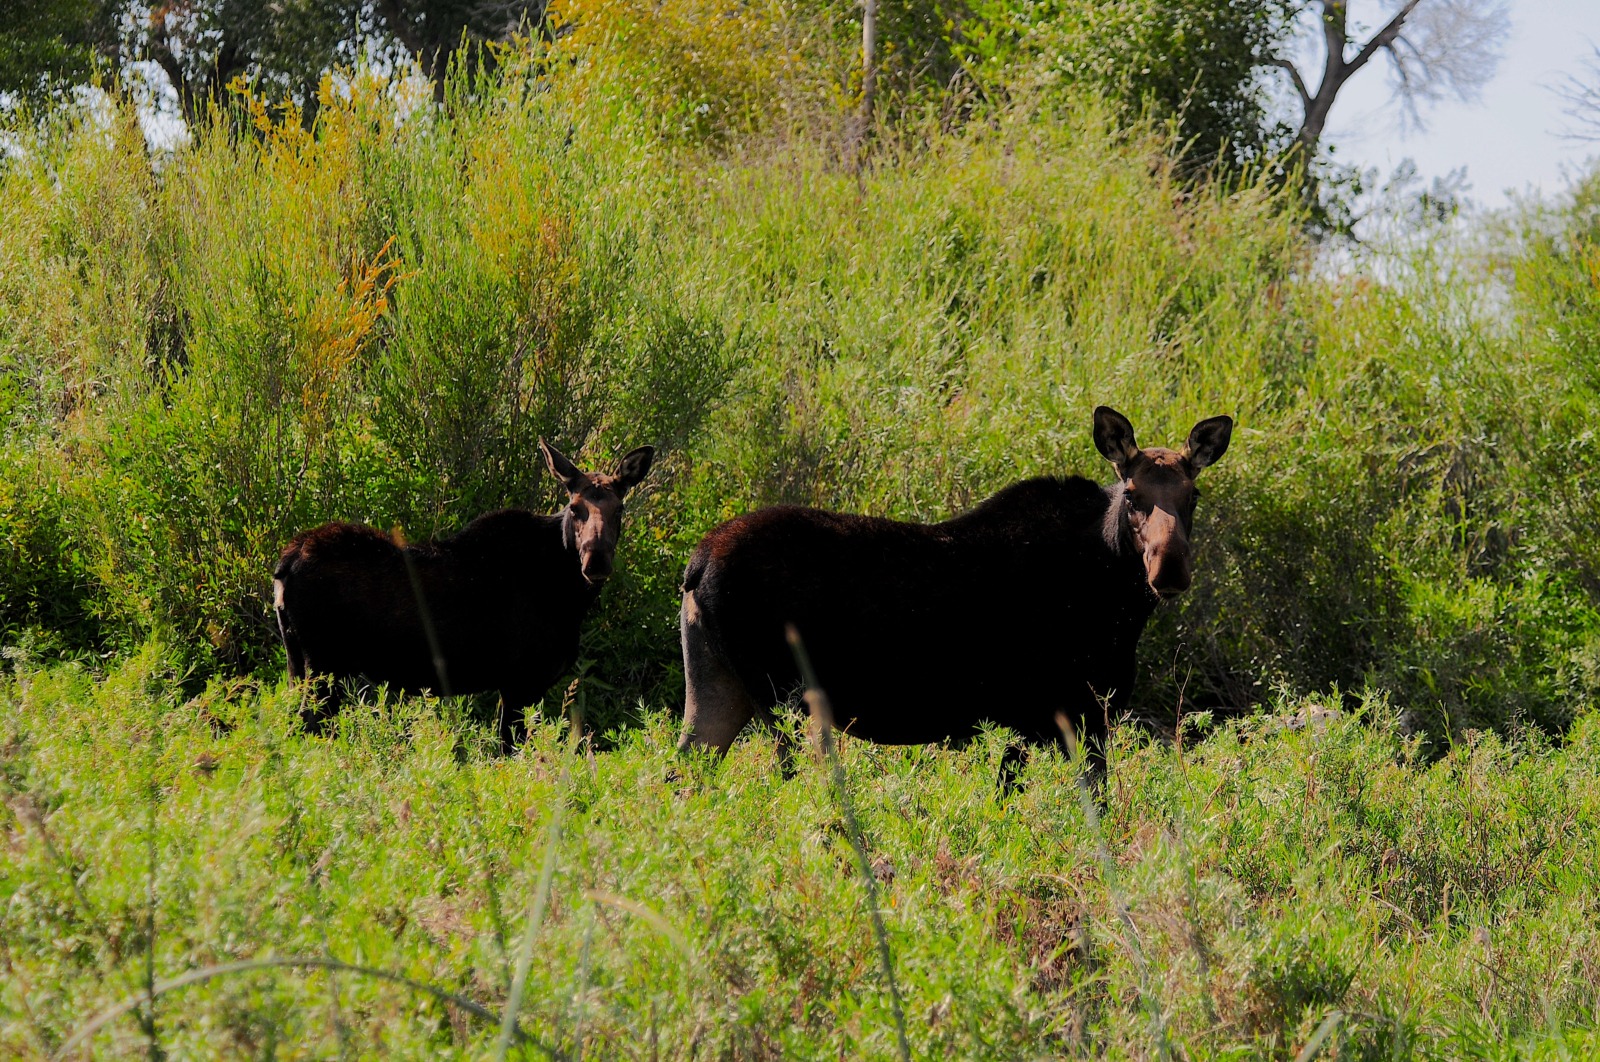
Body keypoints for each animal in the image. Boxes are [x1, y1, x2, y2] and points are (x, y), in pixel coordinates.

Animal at [272, 438, 652, 745]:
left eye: (619, 509)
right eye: (575, 508)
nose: (596, 561)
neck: (570, 598)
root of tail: (284, 567)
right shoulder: (521, 681)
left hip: (297, 663)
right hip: (324, 666)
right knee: (307, 726)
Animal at [681, 406, 1228, 780]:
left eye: (1194, 495)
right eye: (1133, 494)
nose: (1169, 568)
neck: (1120, 606)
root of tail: (696, 564)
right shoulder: (1071, 712)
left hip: (716, 685)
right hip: (780, 698)